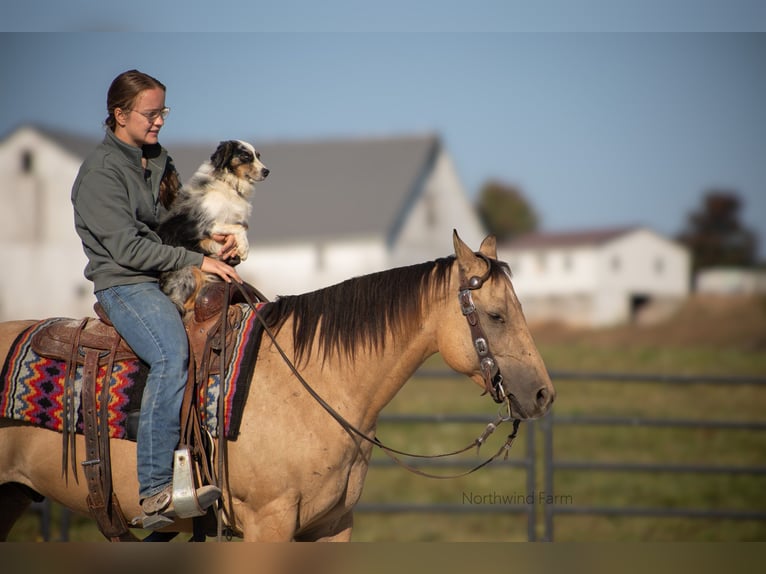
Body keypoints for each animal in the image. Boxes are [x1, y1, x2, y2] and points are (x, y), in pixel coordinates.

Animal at [156, 141, 270, 316]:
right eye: (245, 156)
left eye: (258, 156)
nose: (267, 171)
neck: (228, 183)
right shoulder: (206, 225)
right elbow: (239, 228)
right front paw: (244, 249)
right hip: (191, 270)